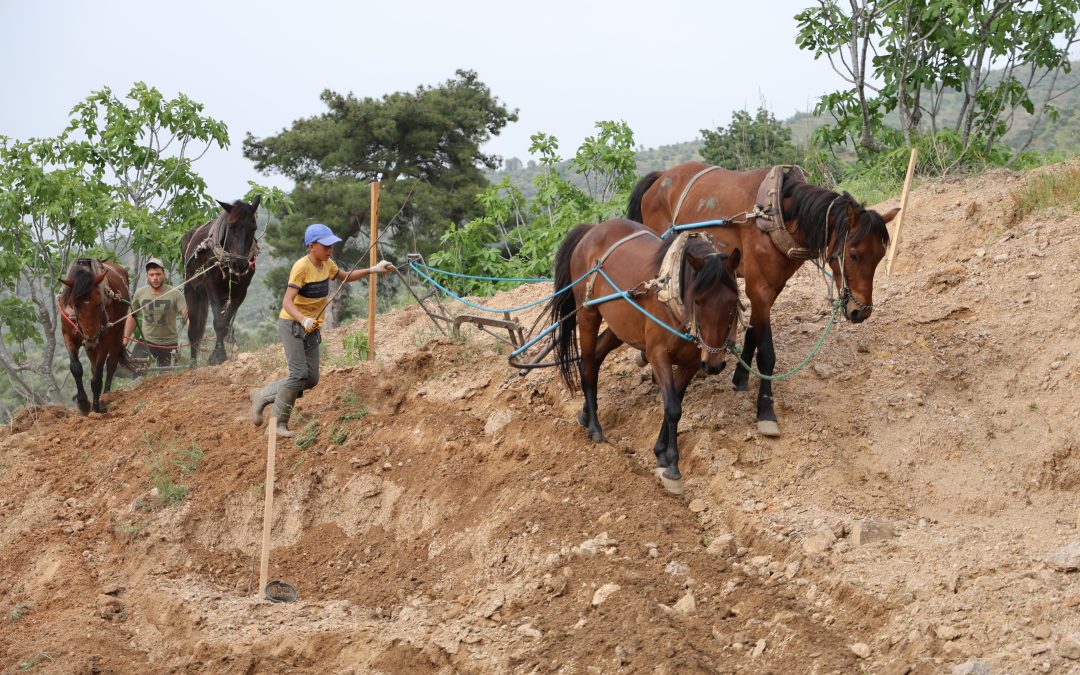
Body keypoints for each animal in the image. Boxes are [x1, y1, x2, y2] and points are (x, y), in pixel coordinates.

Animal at [59, 259, 132, 412]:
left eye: (99, 304)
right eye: (76, 305)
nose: (91, 339)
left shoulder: (104, 338)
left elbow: (98, 375)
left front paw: (96, 407)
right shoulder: (68, 336)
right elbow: (76, 368)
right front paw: (83, 402)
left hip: (117, 332)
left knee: (111, 363)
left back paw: (107, 394)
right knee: (93, 365)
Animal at [180, 193, 260, 362]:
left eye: (254, 228)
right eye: (231, 227)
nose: (240, 264)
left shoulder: (241, 291)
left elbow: (226, 322)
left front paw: (218, 352)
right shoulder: (212, 286)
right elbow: (218, 322)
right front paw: (218, 354)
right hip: (192, 290)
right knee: (194, 332)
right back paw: (193, 364)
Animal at [552, 218, 738, 492]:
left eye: (733, 302)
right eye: (699, 301)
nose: (714, 364)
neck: (671, 295)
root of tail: (592, 229)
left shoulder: (692, 363)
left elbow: (675, 402)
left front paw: (660, 453)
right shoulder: (657, 354)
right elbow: (672, 408)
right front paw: (672, 468)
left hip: (619, 325)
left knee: (595, 358)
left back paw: (585, 414)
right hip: (587, 314)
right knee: (586, 366)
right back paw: (595, 428)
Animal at [630, 163, 898, 436]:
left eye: (880, 256)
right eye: (854, 255)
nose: (861, 311)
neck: (778, 214)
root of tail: (661, 177)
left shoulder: (769, 288)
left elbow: (752, 332)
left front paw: (740, 378)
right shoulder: (759, 288)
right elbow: (767, 354)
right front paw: (766, 411)